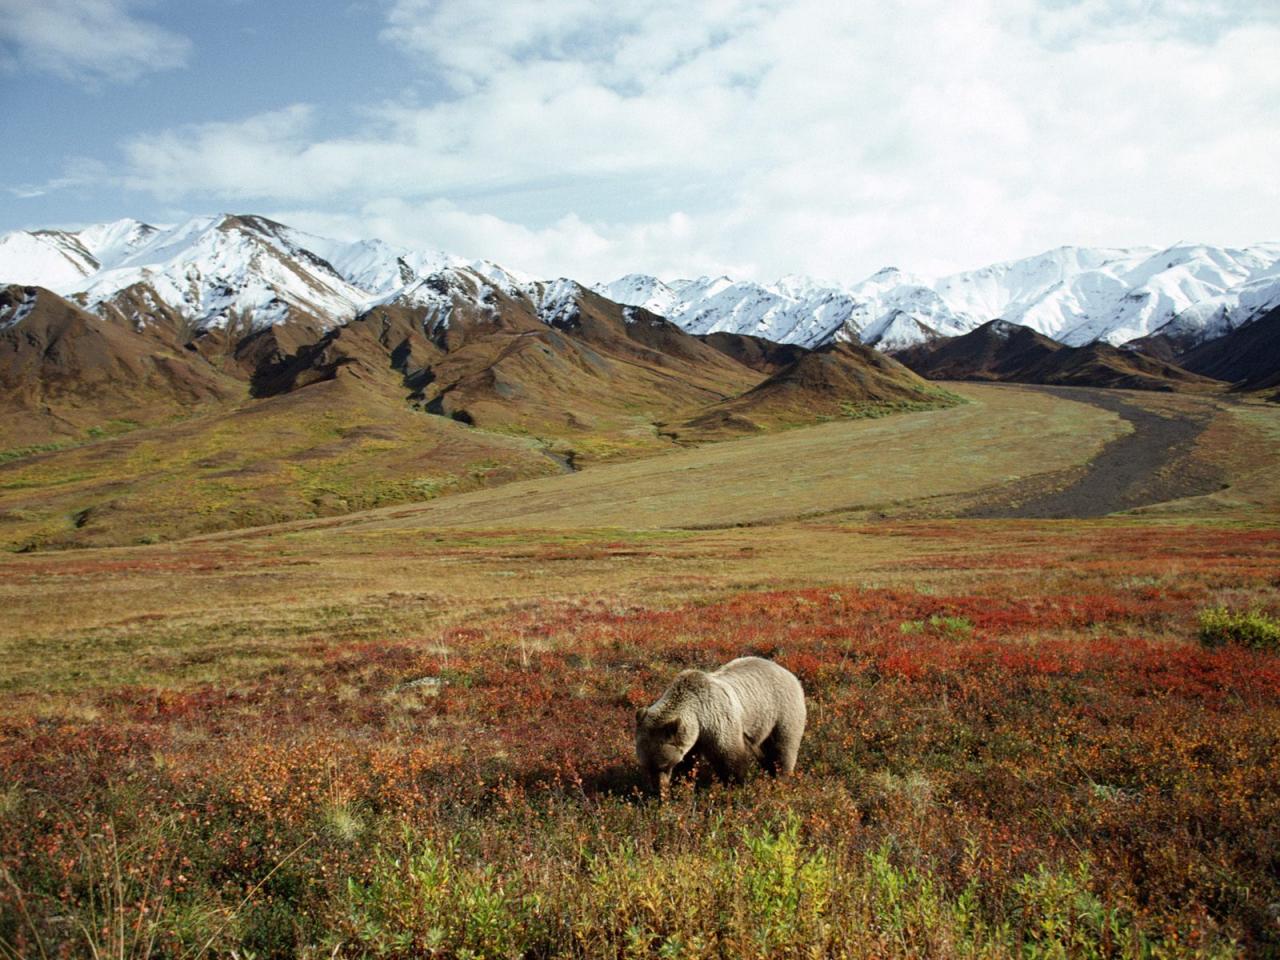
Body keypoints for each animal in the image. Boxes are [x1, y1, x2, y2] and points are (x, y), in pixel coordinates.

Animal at [634, 655, 803, 798]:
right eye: (645, 765)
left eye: (663, 765)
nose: (656, 791)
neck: (699, 718)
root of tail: (787, 671)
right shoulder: (693, 739)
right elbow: (688, 763)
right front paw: (682, 785)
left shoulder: (718, 721)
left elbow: (730, 758)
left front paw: (736, 786)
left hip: (782, 711)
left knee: (783, 747)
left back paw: (781, 779)